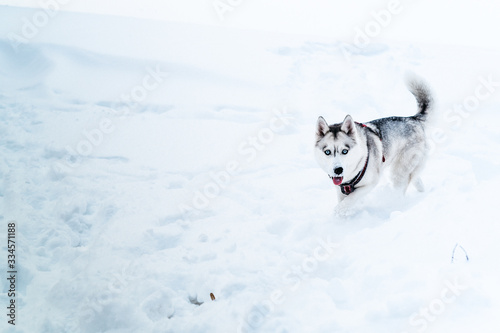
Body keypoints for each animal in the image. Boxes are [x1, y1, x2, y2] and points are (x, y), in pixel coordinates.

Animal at [318, 78, 432, 213]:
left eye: (345, 151)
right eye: (327, 152)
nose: (338, 170)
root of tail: (413, 119)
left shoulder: (369, 183)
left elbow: (350, 199)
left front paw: (340, 211)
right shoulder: (340, 189)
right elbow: (344, 200)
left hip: (400, 169)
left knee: (401, 185)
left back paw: (394, 202)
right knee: (413, 177)